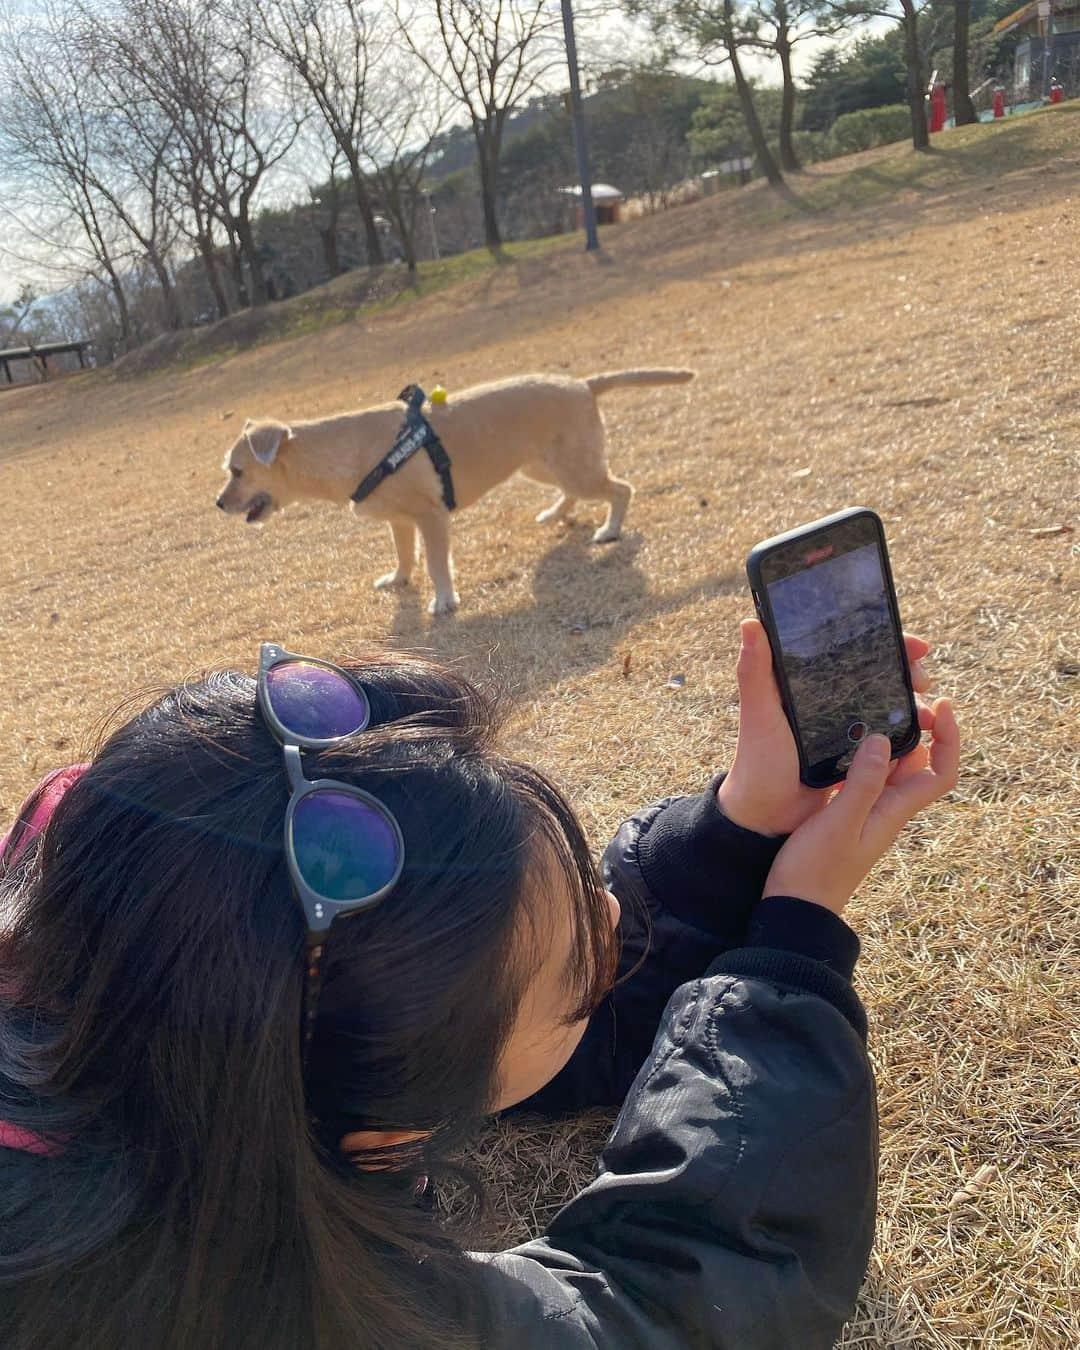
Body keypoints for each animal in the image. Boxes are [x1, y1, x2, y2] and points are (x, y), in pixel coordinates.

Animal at [214, 375, 696, 618]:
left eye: (237, 471)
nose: (219, 503)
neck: (343, 451)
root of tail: (582, 383)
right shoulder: (400, 521)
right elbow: (403, 555)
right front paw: (397, 579)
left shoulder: (430, 517)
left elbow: (434, 562)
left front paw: (444, 600)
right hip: (542, 465)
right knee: (572, 492)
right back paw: (555, 513)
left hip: (573, 468)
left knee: (621, 488)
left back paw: (610, 529)